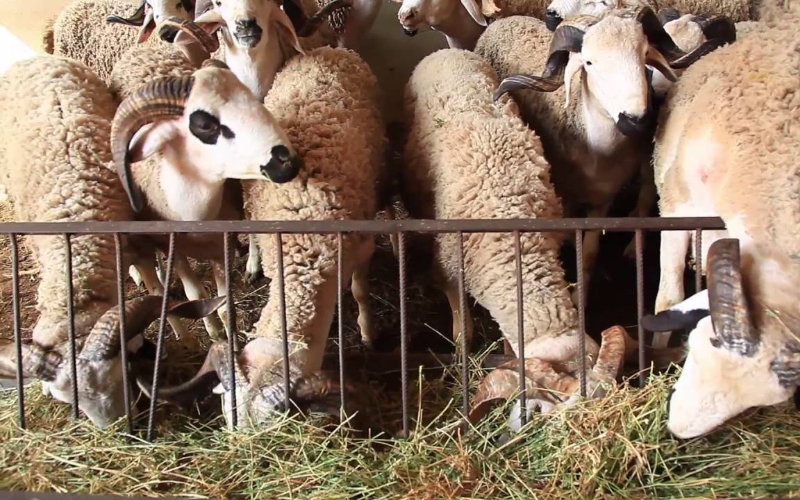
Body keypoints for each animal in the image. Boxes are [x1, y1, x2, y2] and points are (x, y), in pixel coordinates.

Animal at [0, 55, 225, 427]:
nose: (118, 430)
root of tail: (35, 58)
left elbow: (158, 290)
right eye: (68, 402)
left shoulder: (137, 241)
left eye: (123, 374)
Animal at [474, 8, 722, 299]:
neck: (597, 152)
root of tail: (505, 19)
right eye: (589, 62)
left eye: (644, 54)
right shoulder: (563, 196)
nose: (635, 120)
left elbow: (590, 255)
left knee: (647, 192)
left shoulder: (603, 199)